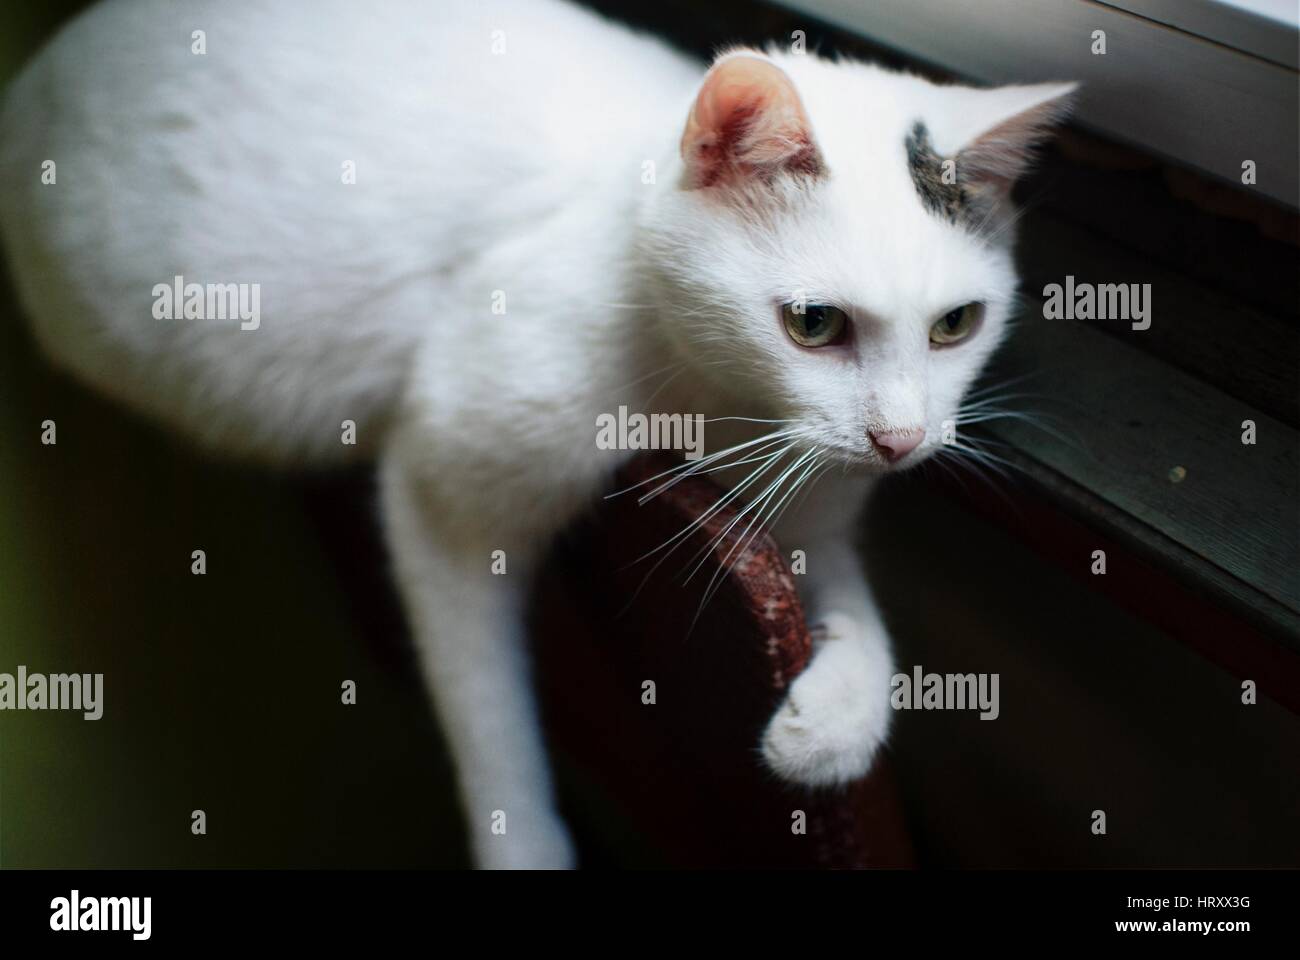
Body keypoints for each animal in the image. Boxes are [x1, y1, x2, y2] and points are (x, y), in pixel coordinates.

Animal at [0, 0, 1071, 868]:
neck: (720, 404)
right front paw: (525, 846)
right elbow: (489, 715)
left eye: (955, 324)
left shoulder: (813, 516)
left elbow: (857, 612)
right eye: (813, 324)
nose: (904, 440)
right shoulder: (445, 492)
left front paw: (835, 722)